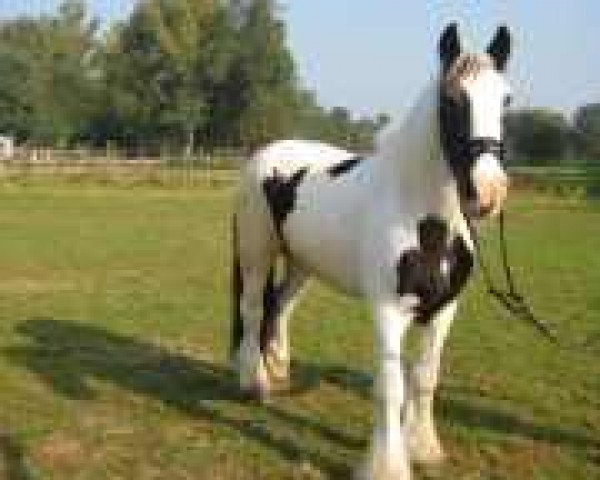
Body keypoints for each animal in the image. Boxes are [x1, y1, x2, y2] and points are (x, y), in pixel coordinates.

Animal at [230, 25, 510, 480]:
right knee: (254, 310)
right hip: (257, 253)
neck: (422, 215)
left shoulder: (444, 309)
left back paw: (279, 370)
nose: (488, 193)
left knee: (280, 307)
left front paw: (423, 448)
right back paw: (255, 383)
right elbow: (391, 386)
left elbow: (424, 378)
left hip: (302, 264)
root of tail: (266, 155)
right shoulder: (388, 309)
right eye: (453, 101)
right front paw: (387, 465)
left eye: (507, 99)